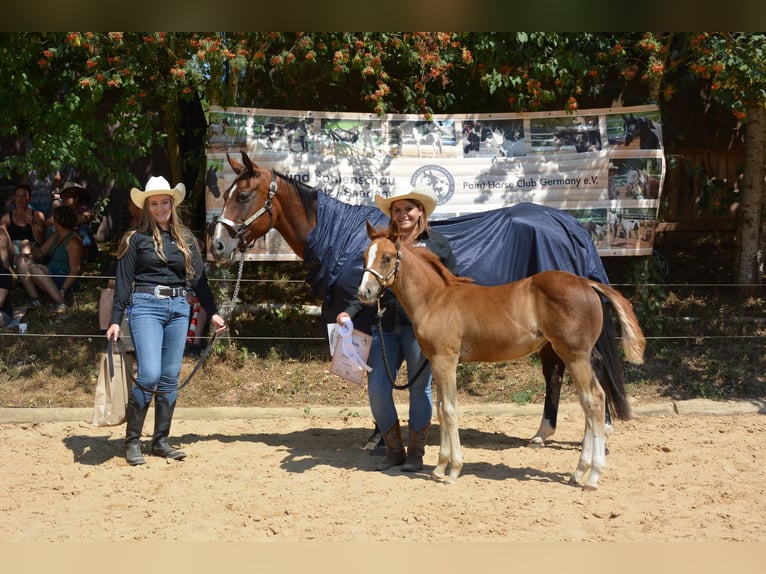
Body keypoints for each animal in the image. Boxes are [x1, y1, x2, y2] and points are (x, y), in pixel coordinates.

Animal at [210, 152, 633, 448]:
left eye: (243, 195)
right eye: (226, 193)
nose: (218, 245)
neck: (341, 240)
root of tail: (570, 225)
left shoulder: (368, 320)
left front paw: (379, 437)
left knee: (585, 369)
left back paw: (597, 432)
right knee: (555, 372)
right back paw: (544, 433)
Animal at [357, 223, 645, 487]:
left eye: (387, 257)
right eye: (364, 256)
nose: (364, 293)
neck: (436, 299)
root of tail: (588, 283)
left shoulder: (445, 361)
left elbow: (449, 409)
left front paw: (453, 470)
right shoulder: (438, 363)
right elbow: (440, 408)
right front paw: (439, 467)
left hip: (575, 355)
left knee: (593, 400)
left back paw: (592, 475)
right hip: (574, 356)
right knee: (590, 402)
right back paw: (578, 472)